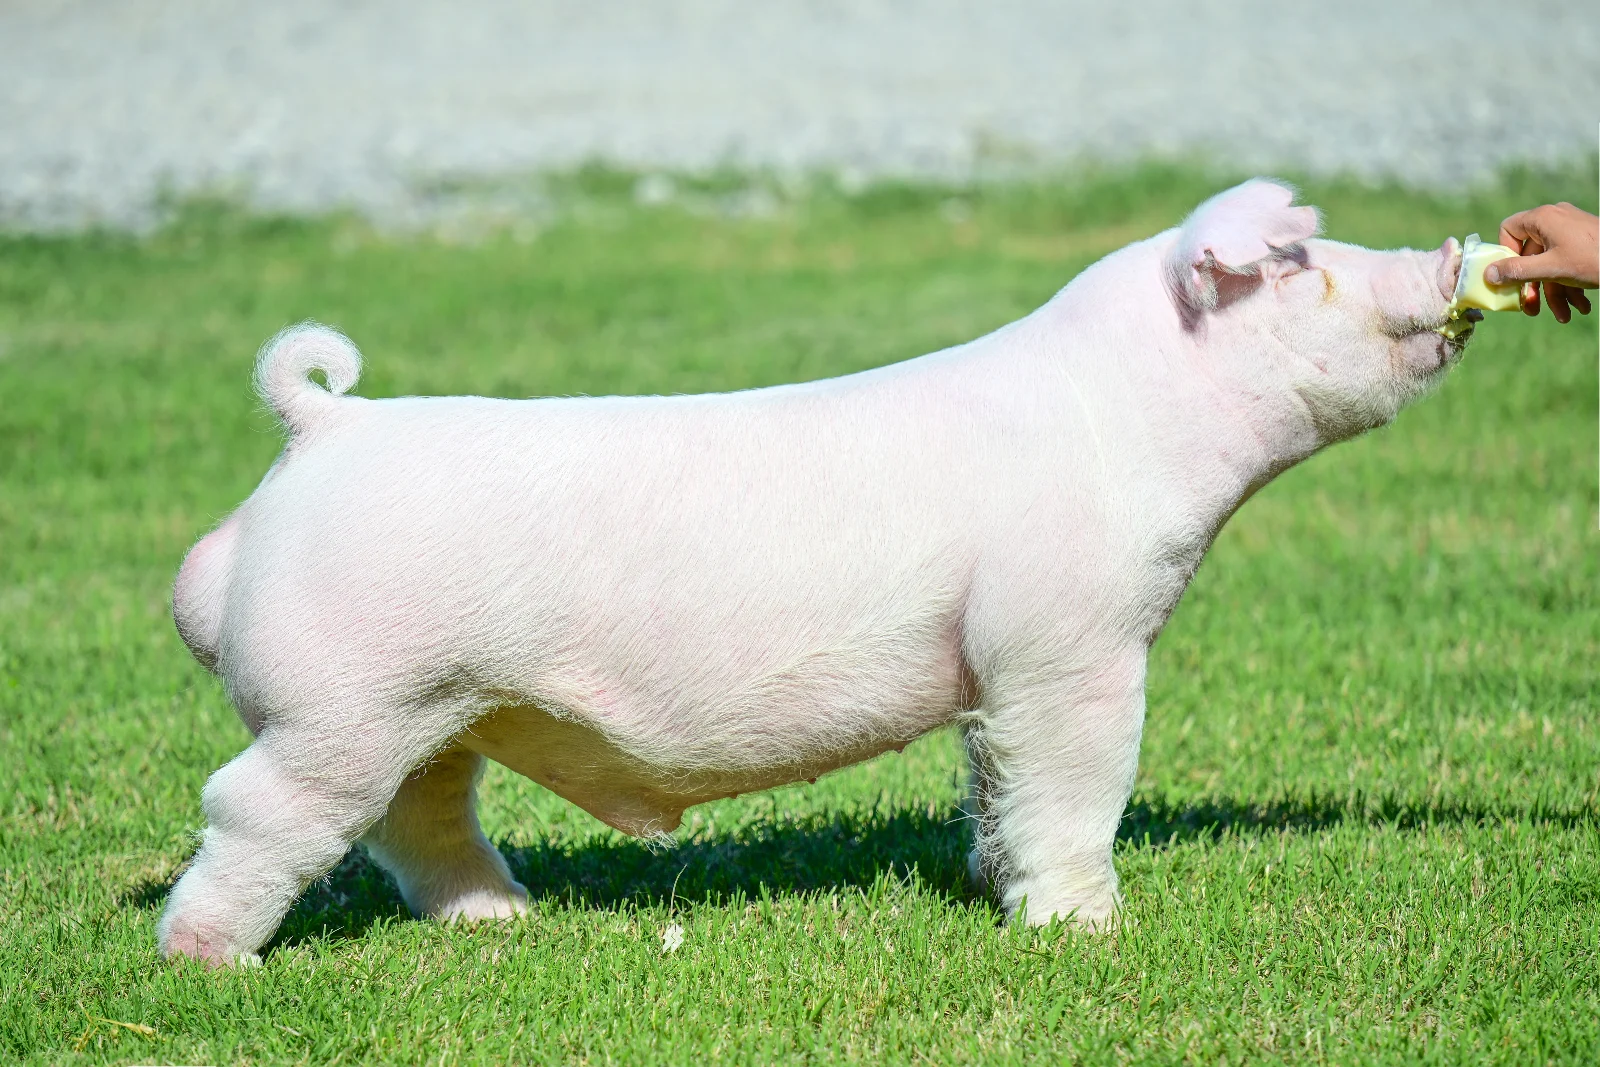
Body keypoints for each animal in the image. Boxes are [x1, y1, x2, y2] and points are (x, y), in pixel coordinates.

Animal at [159, 179, 1470, 964]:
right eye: (1296, 262)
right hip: (342, 700)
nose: (1456, 247)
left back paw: (505, 920)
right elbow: (1075, 784)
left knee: (418, 818)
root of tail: (324, 428)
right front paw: (1085, 932)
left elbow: (995, 784)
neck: (1134, 427)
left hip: (436, 707)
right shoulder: (1069, 641)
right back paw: (207, 959)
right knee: (255, 807)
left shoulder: (994, 675)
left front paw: (995, 885)